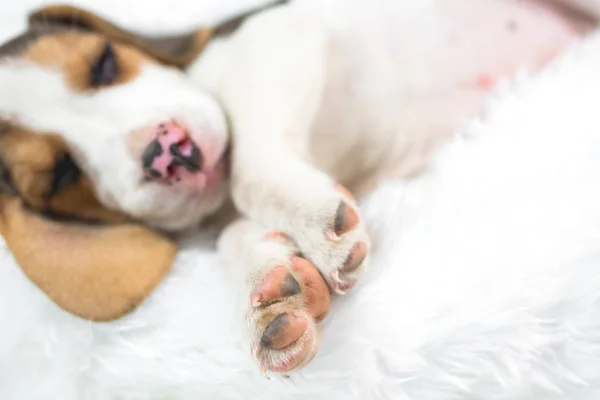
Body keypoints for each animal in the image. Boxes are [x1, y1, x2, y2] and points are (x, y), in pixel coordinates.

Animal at [0, 0, 592, 376]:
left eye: (104, 63)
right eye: (61, 174)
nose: (168, 152)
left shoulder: (276, 36)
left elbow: (248, 174)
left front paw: (316, 224)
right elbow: (236, 235)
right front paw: (273, 288)